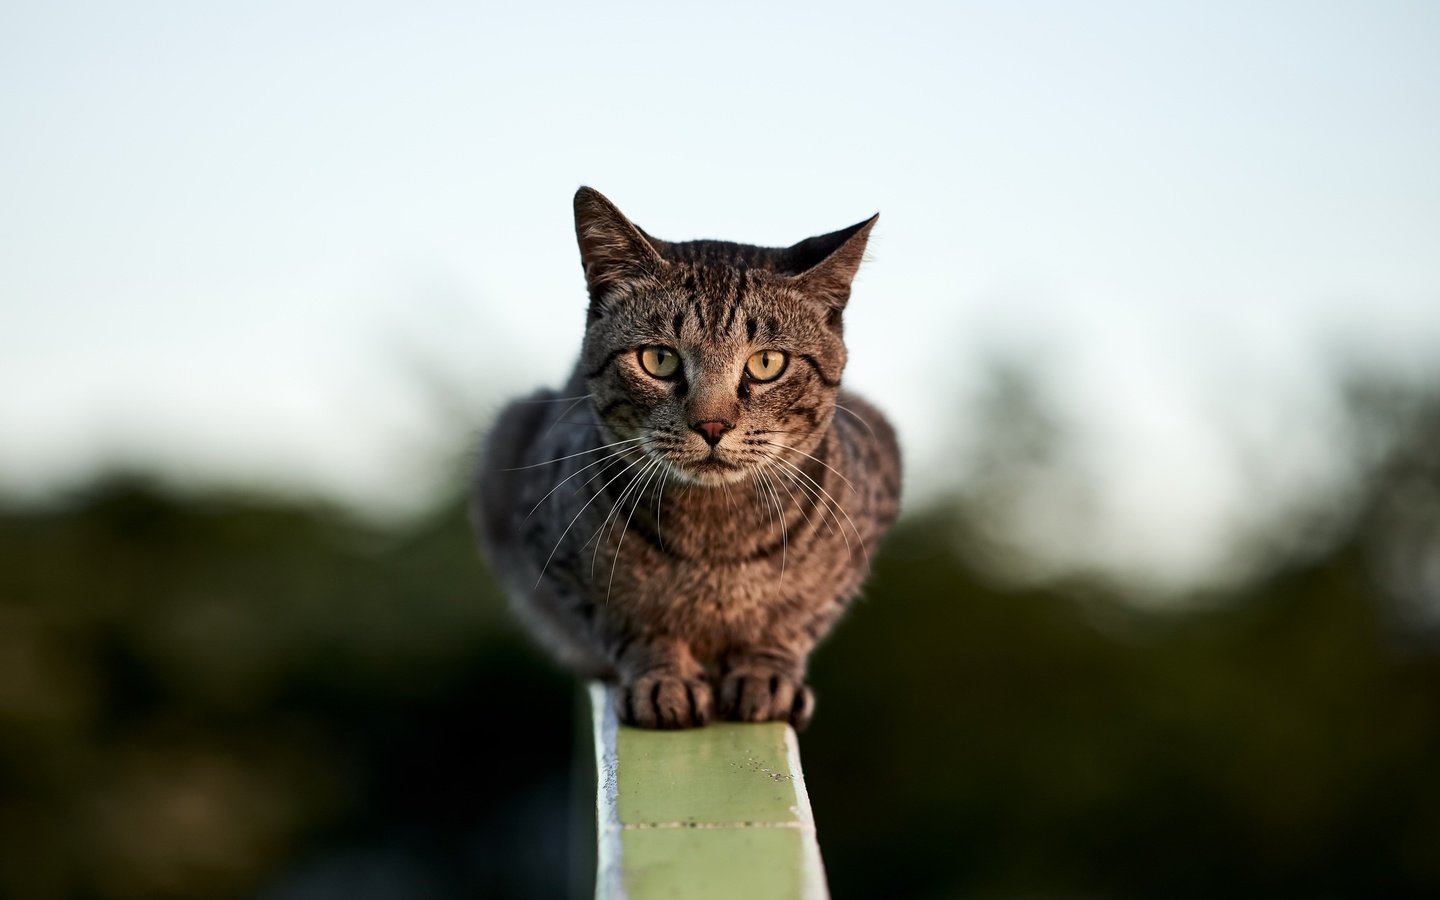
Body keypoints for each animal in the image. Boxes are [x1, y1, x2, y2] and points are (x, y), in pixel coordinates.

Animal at [472, 185, 898, 725]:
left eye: (766, 363)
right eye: (659, 359)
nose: (712, 425)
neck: (714, 543)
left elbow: (792, 624)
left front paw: (766, 673)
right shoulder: (554, 553)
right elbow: (630, 624)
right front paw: (663, 678)